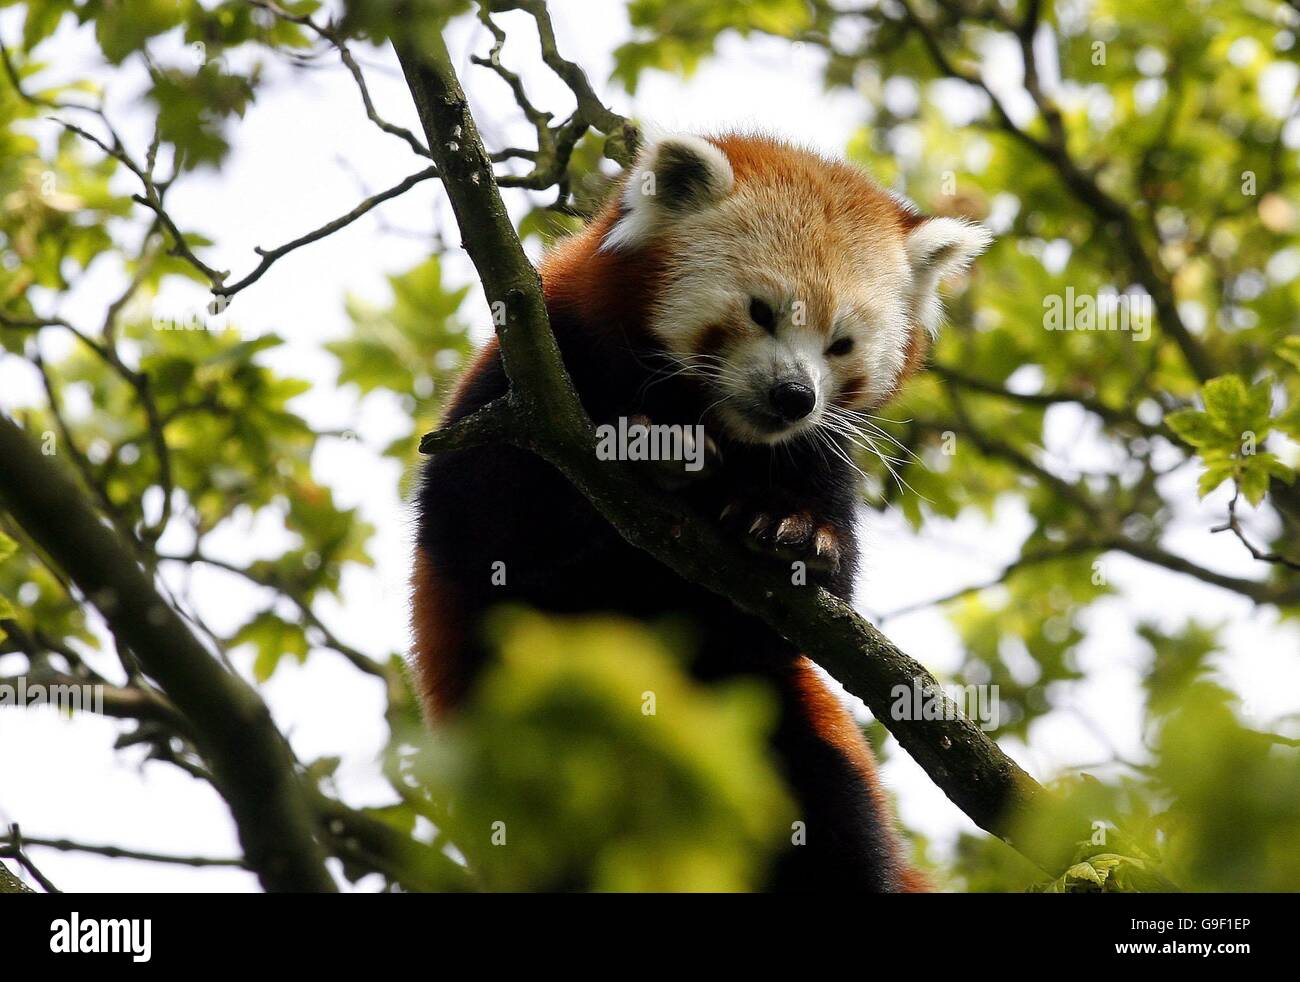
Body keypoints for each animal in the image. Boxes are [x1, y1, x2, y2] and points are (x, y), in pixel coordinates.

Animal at [410, 134, 987, 894]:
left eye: (840, 345)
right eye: (762, 312)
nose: (794, 396)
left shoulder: (820, 454)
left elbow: (807, 601)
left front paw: (797, 537)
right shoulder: (527, 378)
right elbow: (480, 528)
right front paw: (656, 456)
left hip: (778, 728)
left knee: (833, 816)